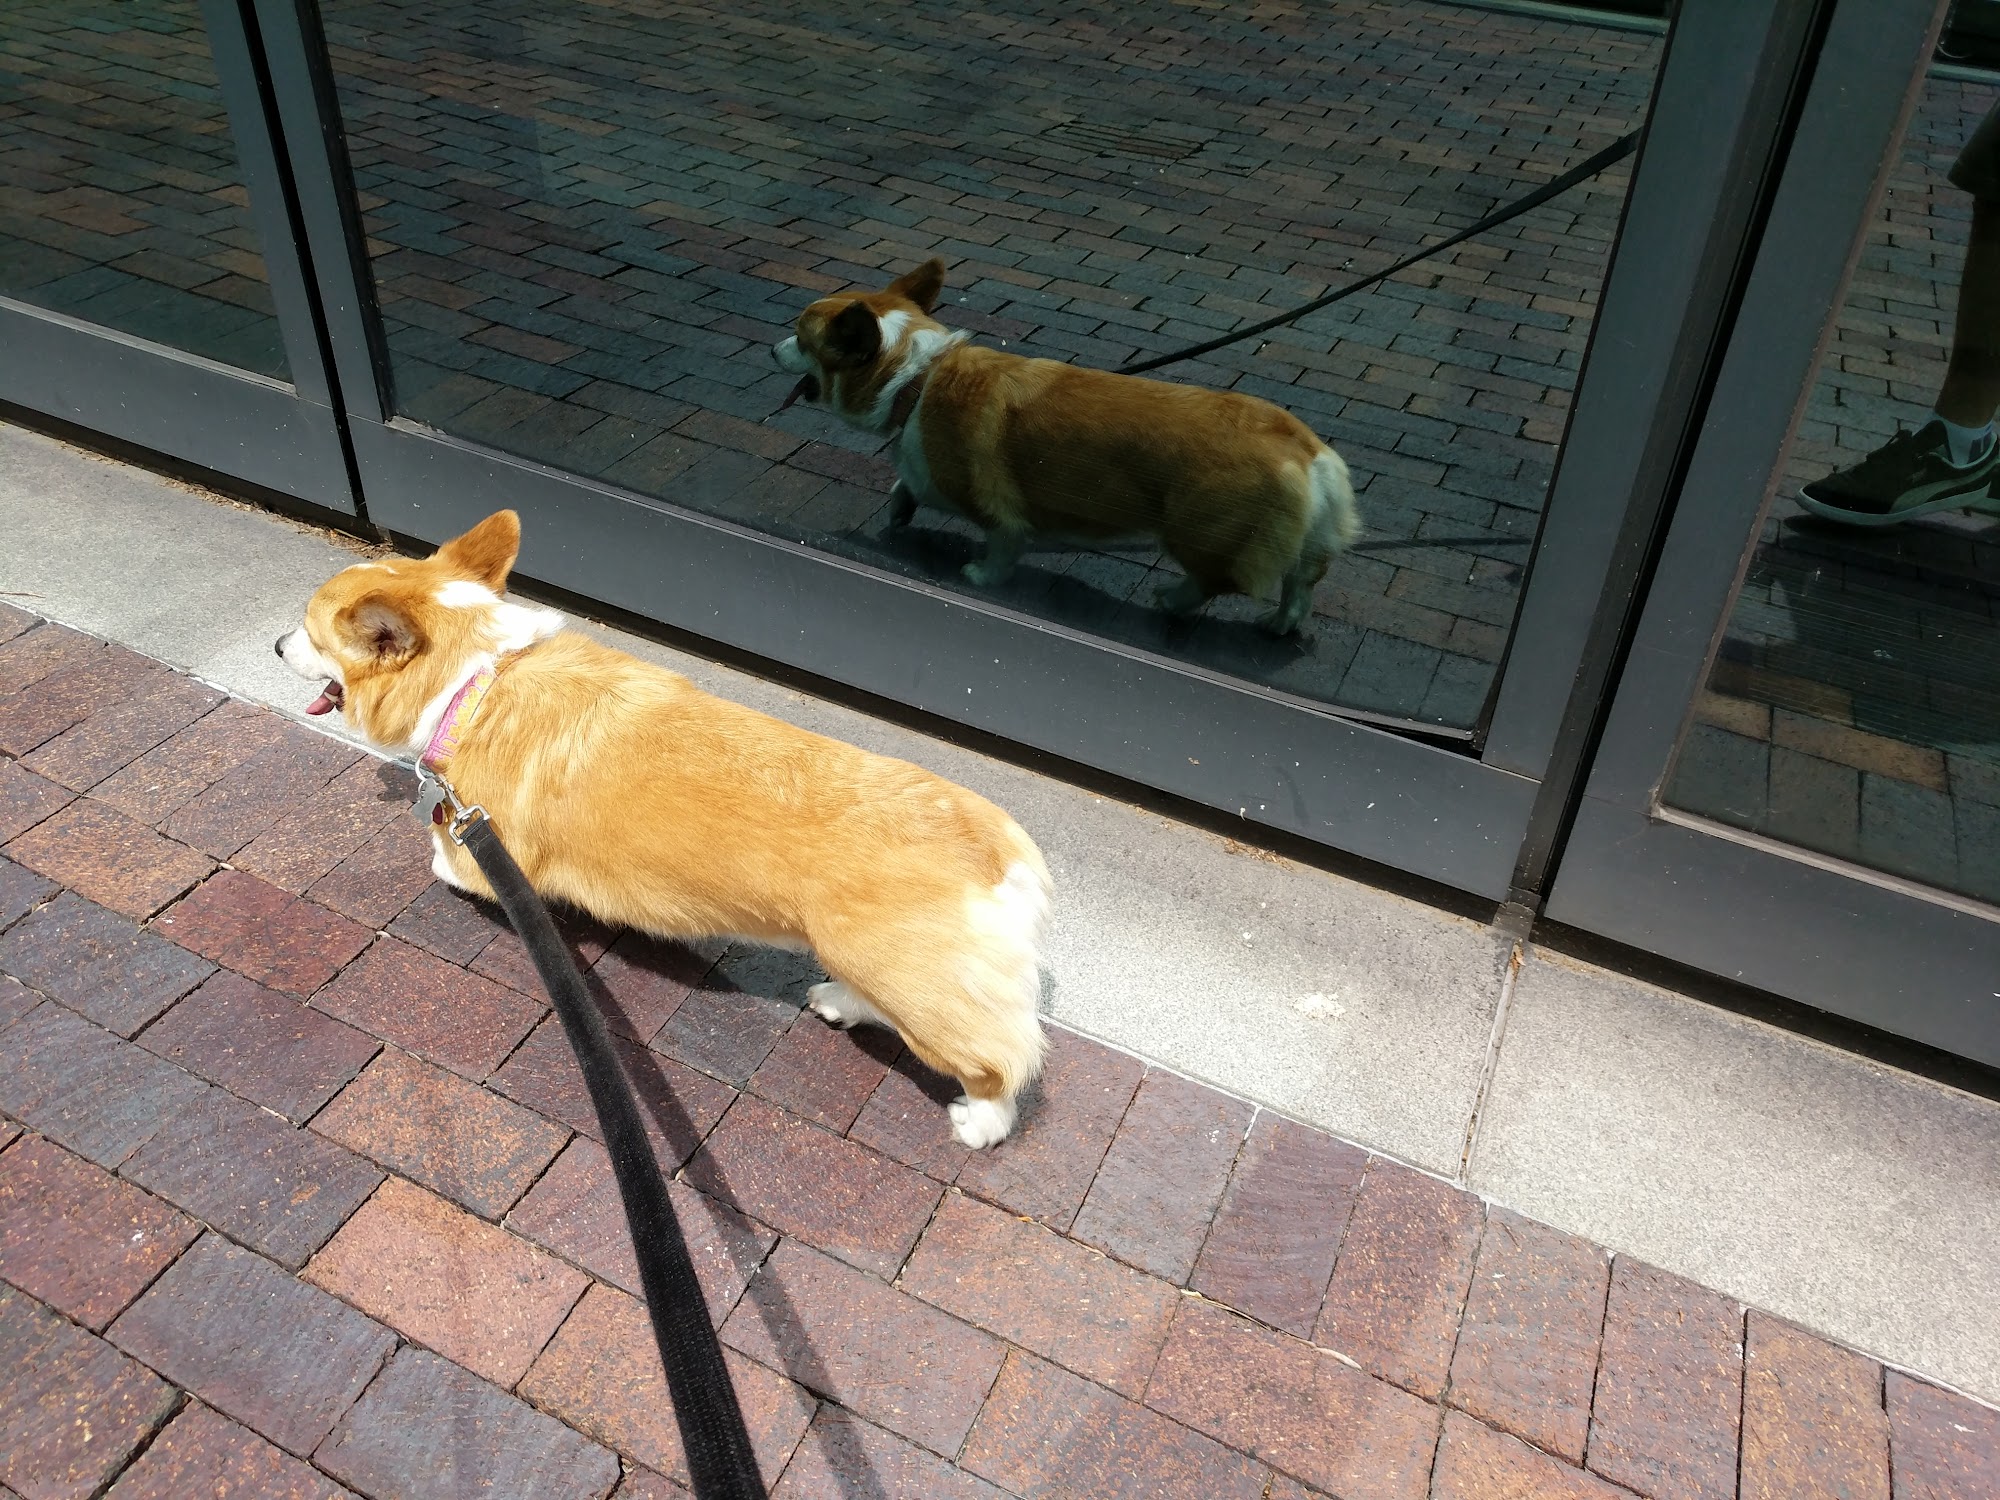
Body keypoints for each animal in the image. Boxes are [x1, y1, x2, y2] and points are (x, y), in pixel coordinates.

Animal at [277, 511, 1050, 1148]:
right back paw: (835, 1001)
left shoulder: (486, 850)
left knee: (1000, 1062)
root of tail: (998, 851)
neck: (477, 678)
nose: (278, 644)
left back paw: (980, 1122)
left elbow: (447, 855)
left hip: (910, 979)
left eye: (311, 635)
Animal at [774, 257, 1360, 635]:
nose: (771, 346)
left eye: (799, 338)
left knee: (1213, 581)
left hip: (1196, 532)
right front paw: (899, 511)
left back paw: (1172, 601)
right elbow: (905, 484)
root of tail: (1309, 452)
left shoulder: (998, 509)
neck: (916, 379)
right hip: (1306, 544)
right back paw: (1277, 625)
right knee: (1299, 587)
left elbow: (1001, 542)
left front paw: (980, 576)